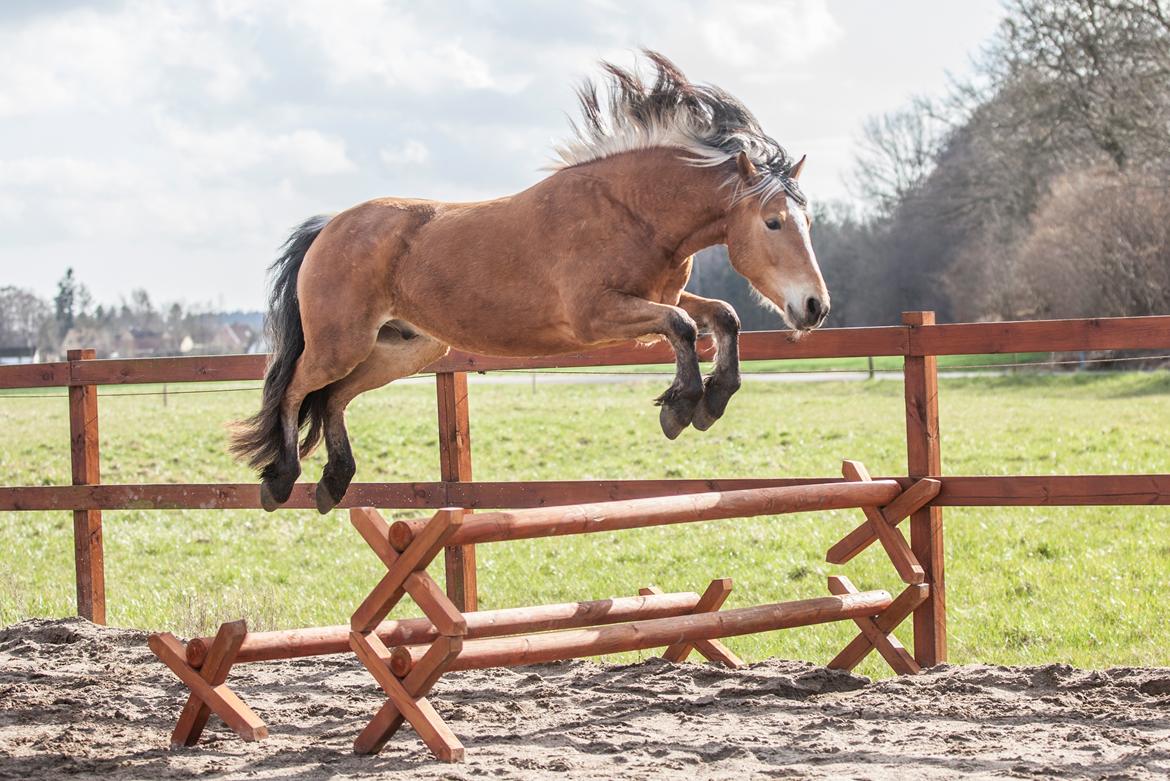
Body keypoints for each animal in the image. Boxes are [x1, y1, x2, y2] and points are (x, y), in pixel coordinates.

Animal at [232, 50, 828, 512]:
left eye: (808, 219)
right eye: (773, 222)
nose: (814, 308)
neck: (631, 210)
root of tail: (330, 226)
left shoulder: (657, 298)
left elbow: (720, 316)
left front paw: (711, 400)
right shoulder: (597, 318)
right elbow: (682, 326)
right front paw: (681, 406)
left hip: (406, 349)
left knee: (332, 398)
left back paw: (334, 483)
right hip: (342, 343)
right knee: (293, 389)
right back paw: (281, 480)